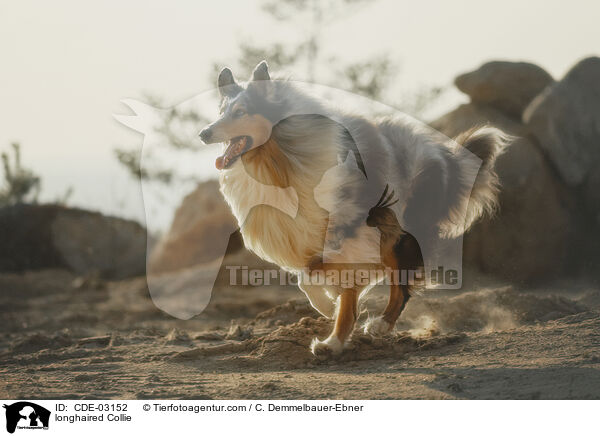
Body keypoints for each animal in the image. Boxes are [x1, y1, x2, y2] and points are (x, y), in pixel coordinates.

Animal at [200, 62, 506, 358]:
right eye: (220, 111)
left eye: (241, 111)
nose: (204, 133)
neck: (281, 158)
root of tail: (444, 156)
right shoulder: (306, 233)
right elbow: (307, 278)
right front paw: (329, 306)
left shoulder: (351, 229)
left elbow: (327, 283)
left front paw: (331, 328)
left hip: (399, 229)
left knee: (401, 284)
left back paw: (380, 325)